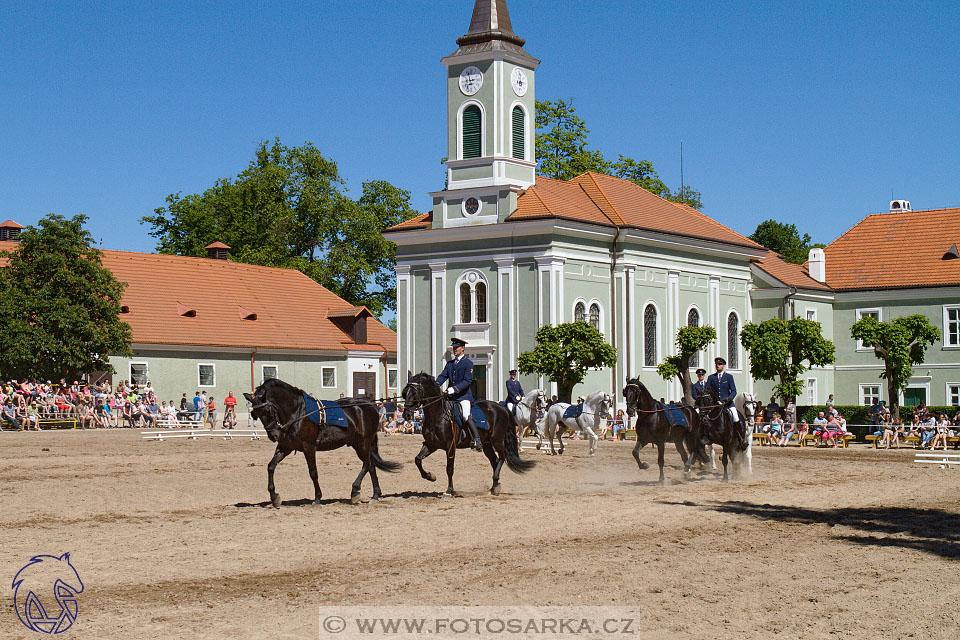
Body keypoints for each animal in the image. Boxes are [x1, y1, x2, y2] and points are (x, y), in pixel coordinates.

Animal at [248, 378, 402, 508]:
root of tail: (370, 404)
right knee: (371, 466)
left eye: (267, 410)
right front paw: (274, 497)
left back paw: (355, 491)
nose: (273, 435)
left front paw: (317, 498)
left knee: (367, 464)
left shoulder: (309, 447)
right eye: (255, 414)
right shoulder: (285, 447)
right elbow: (271, 466)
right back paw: (375, 495)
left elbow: (313, 472)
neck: (298, 412)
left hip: (363, 443)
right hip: (358, 444)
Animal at [398, 372, 532, 498]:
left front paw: (449, 490)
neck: (437, 415)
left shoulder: (450, 447)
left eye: (414, 393)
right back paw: (495, 487)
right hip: (487, 444)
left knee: (502, 457)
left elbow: (449, 469)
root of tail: (503, 408)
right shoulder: (431, 444)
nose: (406, 415)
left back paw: (495, 483)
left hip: (497, 440)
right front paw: (430, 476)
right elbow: (417, 460)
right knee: (494, 461)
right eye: (404, 393)